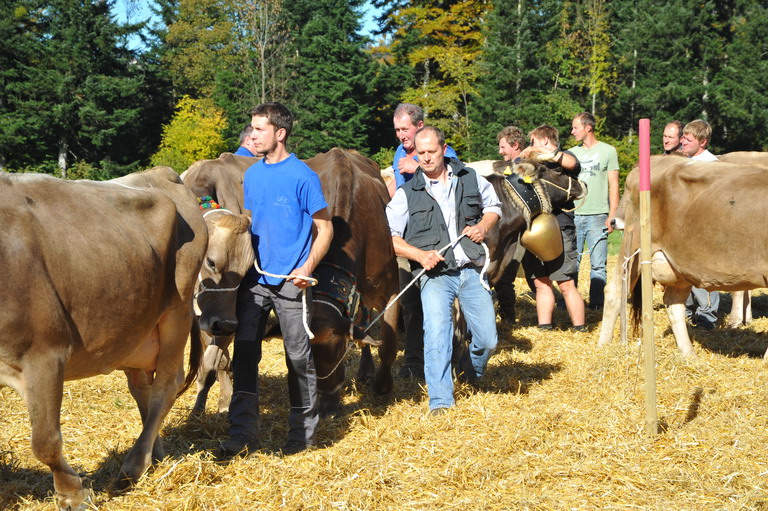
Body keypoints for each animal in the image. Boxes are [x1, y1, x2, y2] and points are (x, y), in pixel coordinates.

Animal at [0, 166, 206, 510]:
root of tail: (160, 172)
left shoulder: (44, 352)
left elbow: (45, 440)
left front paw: (73, 494)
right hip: (136, 326)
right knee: (142, 387)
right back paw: (153, 453)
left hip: (177, 310)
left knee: (166, 386)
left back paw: (133, 467)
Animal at [597, 155, 768, 358]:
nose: (614, 221)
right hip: (633, 247)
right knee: (613, 291)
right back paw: (603, 346)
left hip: (679, 265)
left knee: (674, 304)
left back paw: (689, 355)